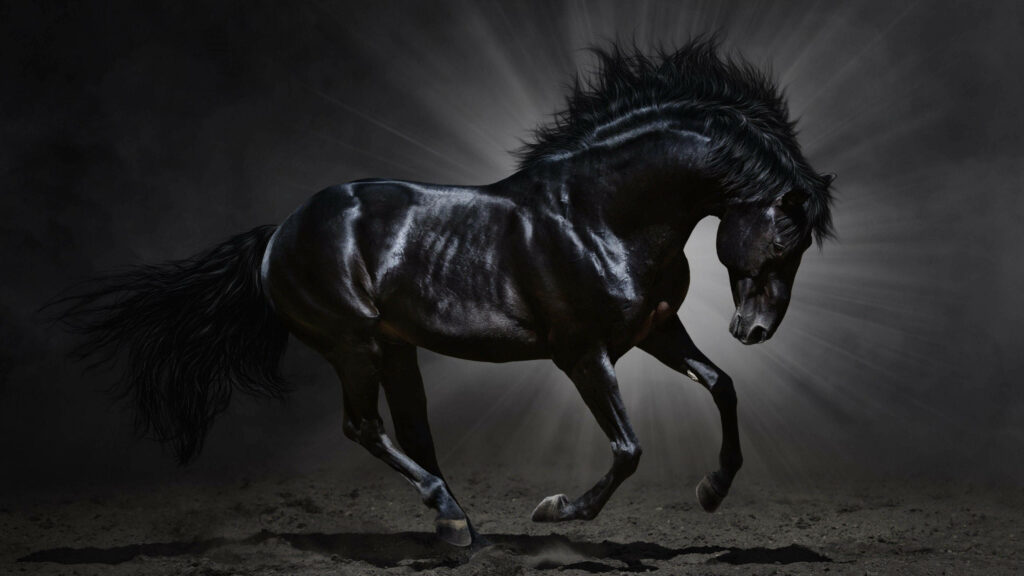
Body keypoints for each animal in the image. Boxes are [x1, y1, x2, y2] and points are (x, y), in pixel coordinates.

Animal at [55, 39, 835, 548]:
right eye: (783, 240)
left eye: (801, 249)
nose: (754, 330)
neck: (600, 214)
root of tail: (278, 233)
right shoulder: (583, 354)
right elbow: (628, 448)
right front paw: (555, 511)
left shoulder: (655, 330)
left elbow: (722, 386)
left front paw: (712, 490)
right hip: (353, 345)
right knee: (364, 428)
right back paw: (452, 519)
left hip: (395, 349)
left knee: (413, 432)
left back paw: (458, 524)